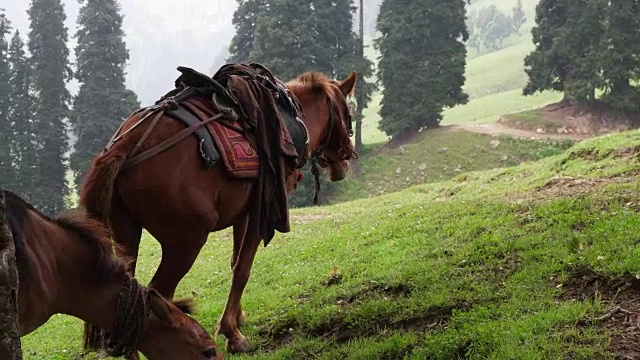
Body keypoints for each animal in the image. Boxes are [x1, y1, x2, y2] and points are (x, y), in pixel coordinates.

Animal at [78, 66, 358, 352]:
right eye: (349, 112)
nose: (348, 156)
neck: (290, 117)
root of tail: (125, 146)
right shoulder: (262, 210)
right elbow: (242, 270)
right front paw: (231, 333)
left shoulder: (244, 213)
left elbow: (235, 261)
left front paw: (237, 317)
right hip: (185, 242)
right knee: (156, 299)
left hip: (125, 232)